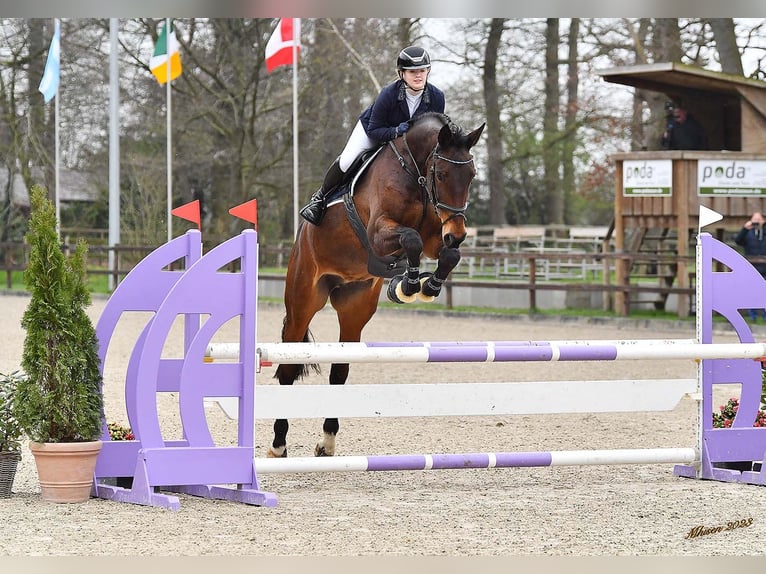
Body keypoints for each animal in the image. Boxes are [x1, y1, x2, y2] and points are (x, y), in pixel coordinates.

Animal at [270, 115, 486, 462]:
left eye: (472, 175)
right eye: (441, 174)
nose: (458, 232)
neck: (416, 172)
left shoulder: (434, 236)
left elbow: (446, 253)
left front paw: (426, 285)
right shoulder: (379, 232)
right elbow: (410, 238)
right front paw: (408, 285)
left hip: (355, 305)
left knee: (339, 372)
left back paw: (327, 442)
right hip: (303, 299)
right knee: (289, 367)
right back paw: (278, 444)